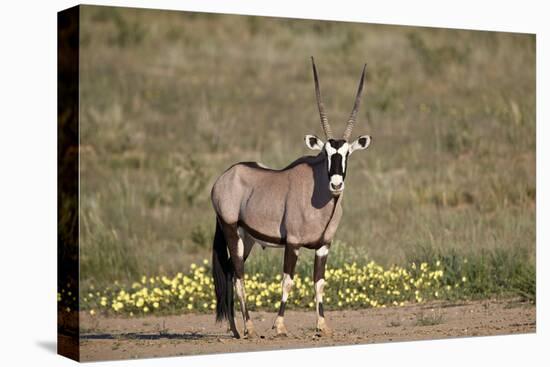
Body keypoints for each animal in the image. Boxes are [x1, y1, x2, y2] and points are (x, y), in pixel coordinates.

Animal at [213, 57, 374, 340]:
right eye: (326, 153)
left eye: (347, 154)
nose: (336, 184)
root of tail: (224, 178)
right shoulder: (293, 243)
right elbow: (287, 281)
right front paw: (279, 325)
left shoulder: (324, 246)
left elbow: (319, 282)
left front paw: (322, 326)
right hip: (231, 229)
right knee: (240, 275)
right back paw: (250, 327)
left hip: (247, 238)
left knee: (232, 271)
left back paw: (235, 328)